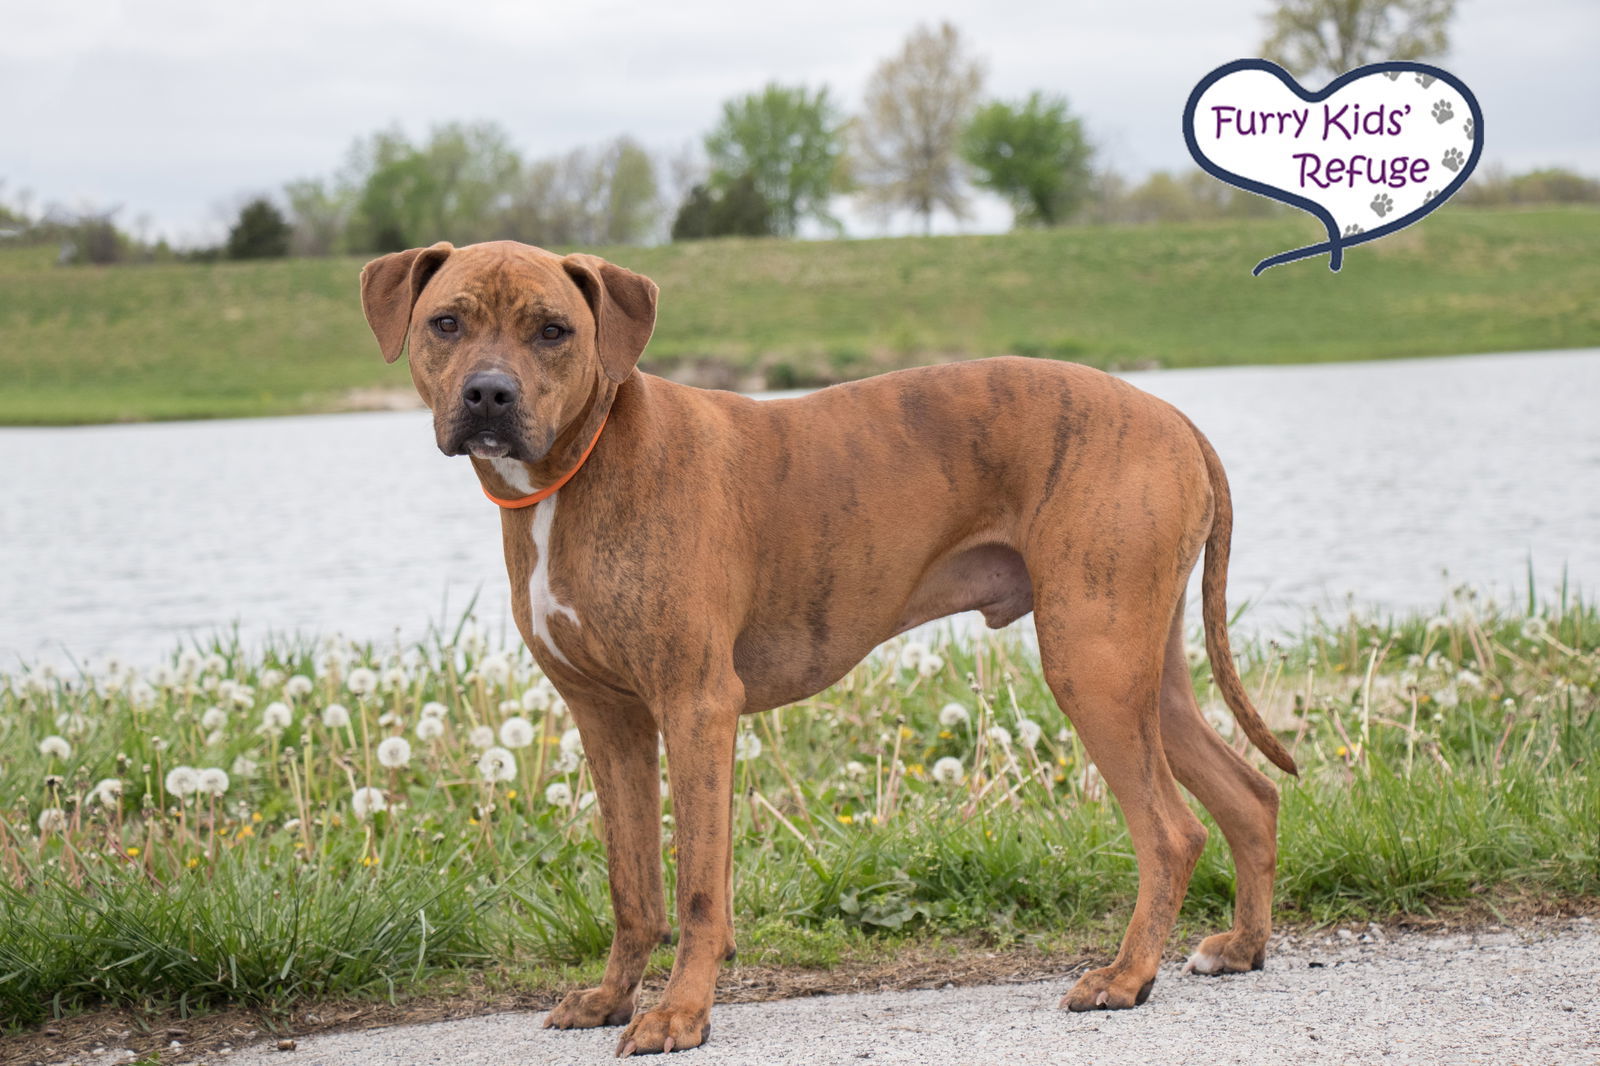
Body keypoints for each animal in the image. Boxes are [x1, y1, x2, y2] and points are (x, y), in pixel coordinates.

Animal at [356, 243, 1292, 1056]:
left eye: (553, 330)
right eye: (447, 323)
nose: (489, 395)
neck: (579, 470)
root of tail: (1173, 415)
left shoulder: (697, 707)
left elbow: (698, 888)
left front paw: (681, 1016)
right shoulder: (608, 721)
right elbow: (633, 885)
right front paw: (612, 996)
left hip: (1090, 661)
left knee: (1171, 831)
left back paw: (1127, 977)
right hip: (1139, 670)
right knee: (1248, 797)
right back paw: (1241, 946)